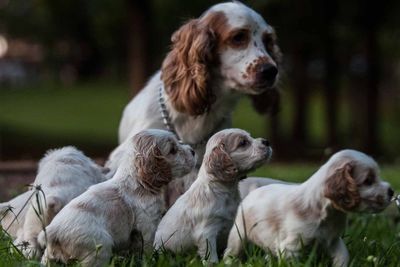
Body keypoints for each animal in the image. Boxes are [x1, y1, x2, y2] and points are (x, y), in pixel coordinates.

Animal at [38, 129, 198, 266]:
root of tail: (53, 231)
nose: (193, 151)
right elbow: (147, 248)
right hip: (99, 248)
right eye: (172, 150)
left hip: (49, 257)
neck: (138, 182)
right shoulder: (147, 225)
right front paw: (151, 261)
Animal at [223, 150, 396, 266]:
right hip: (238, 234)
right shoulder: (291, 247)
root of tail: (254, 190)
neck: (328, 213)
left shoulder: (333, 241)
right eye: (368, 181)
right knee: (231, 252)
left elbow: (342, 256)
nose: (391, 191)